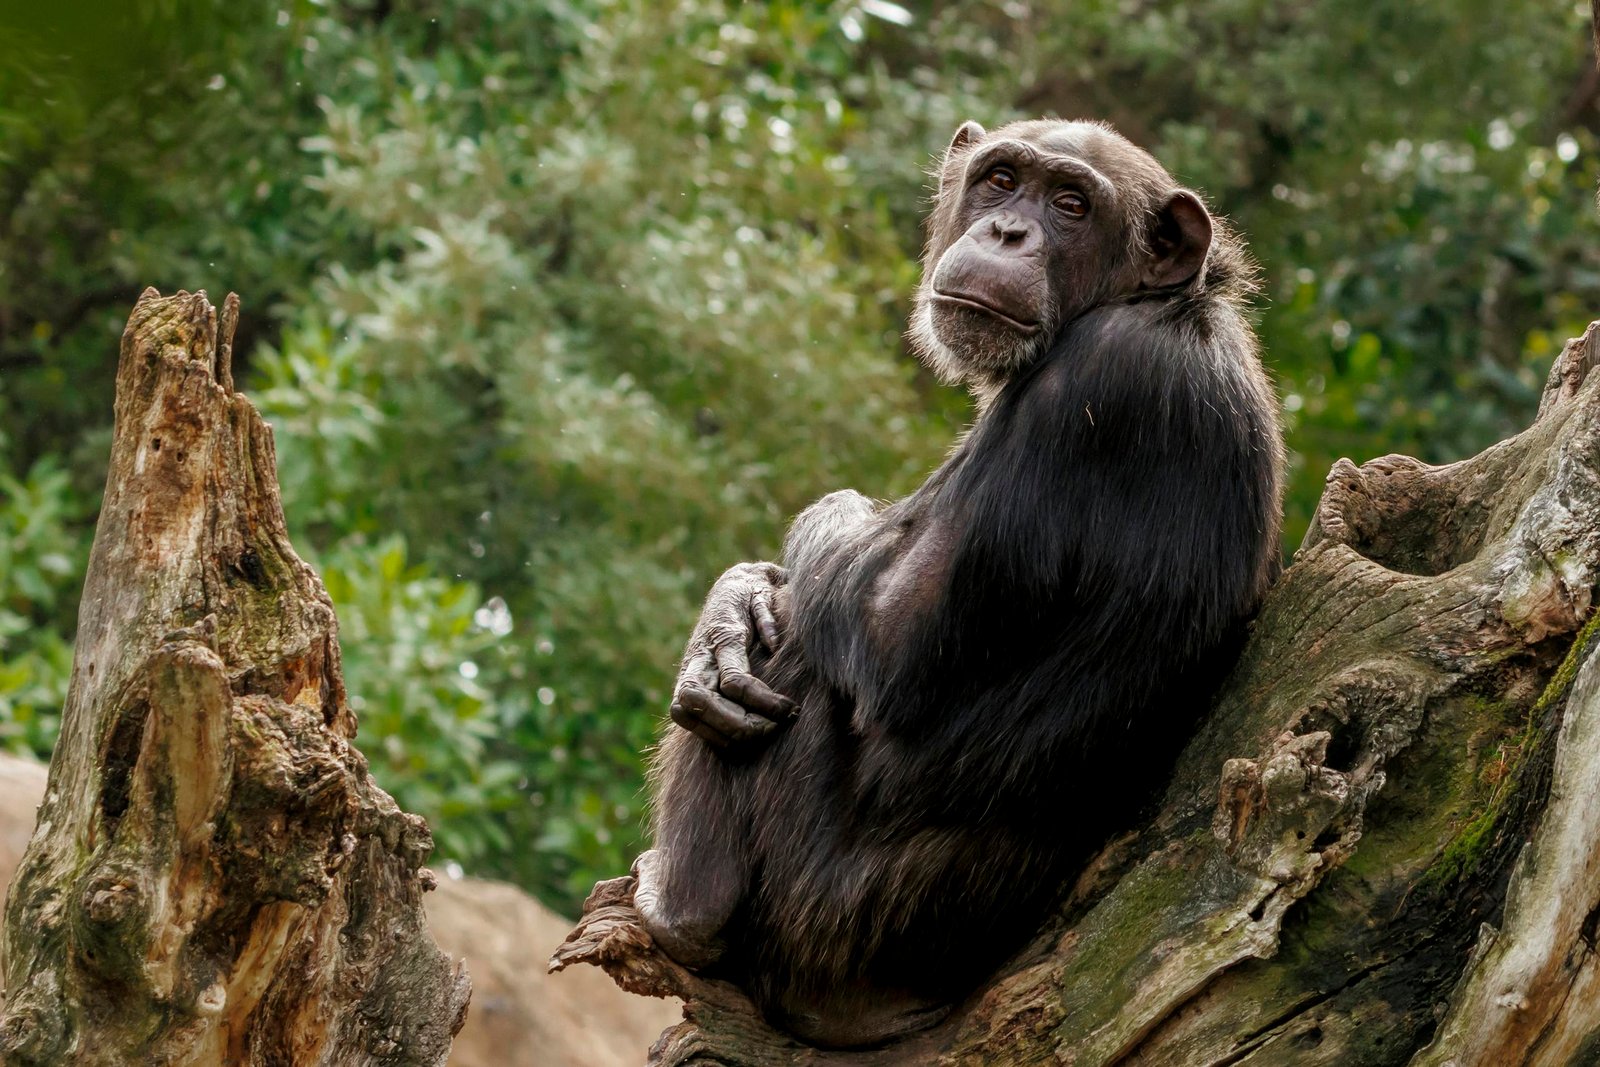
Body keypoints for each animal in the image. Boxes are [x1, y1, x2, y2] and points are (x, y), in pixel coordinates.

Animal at [633, 118, 1285, 1050]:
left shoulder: (1091, 386)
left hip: (822, 921)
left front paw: (765, 585)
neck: (1148, 307)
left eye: (1072, 205)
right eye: (1002, 180)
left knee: (805, 658)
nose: (1008, 232)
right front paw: (732, 606)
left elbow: (888, 638)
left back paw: (678, 902)